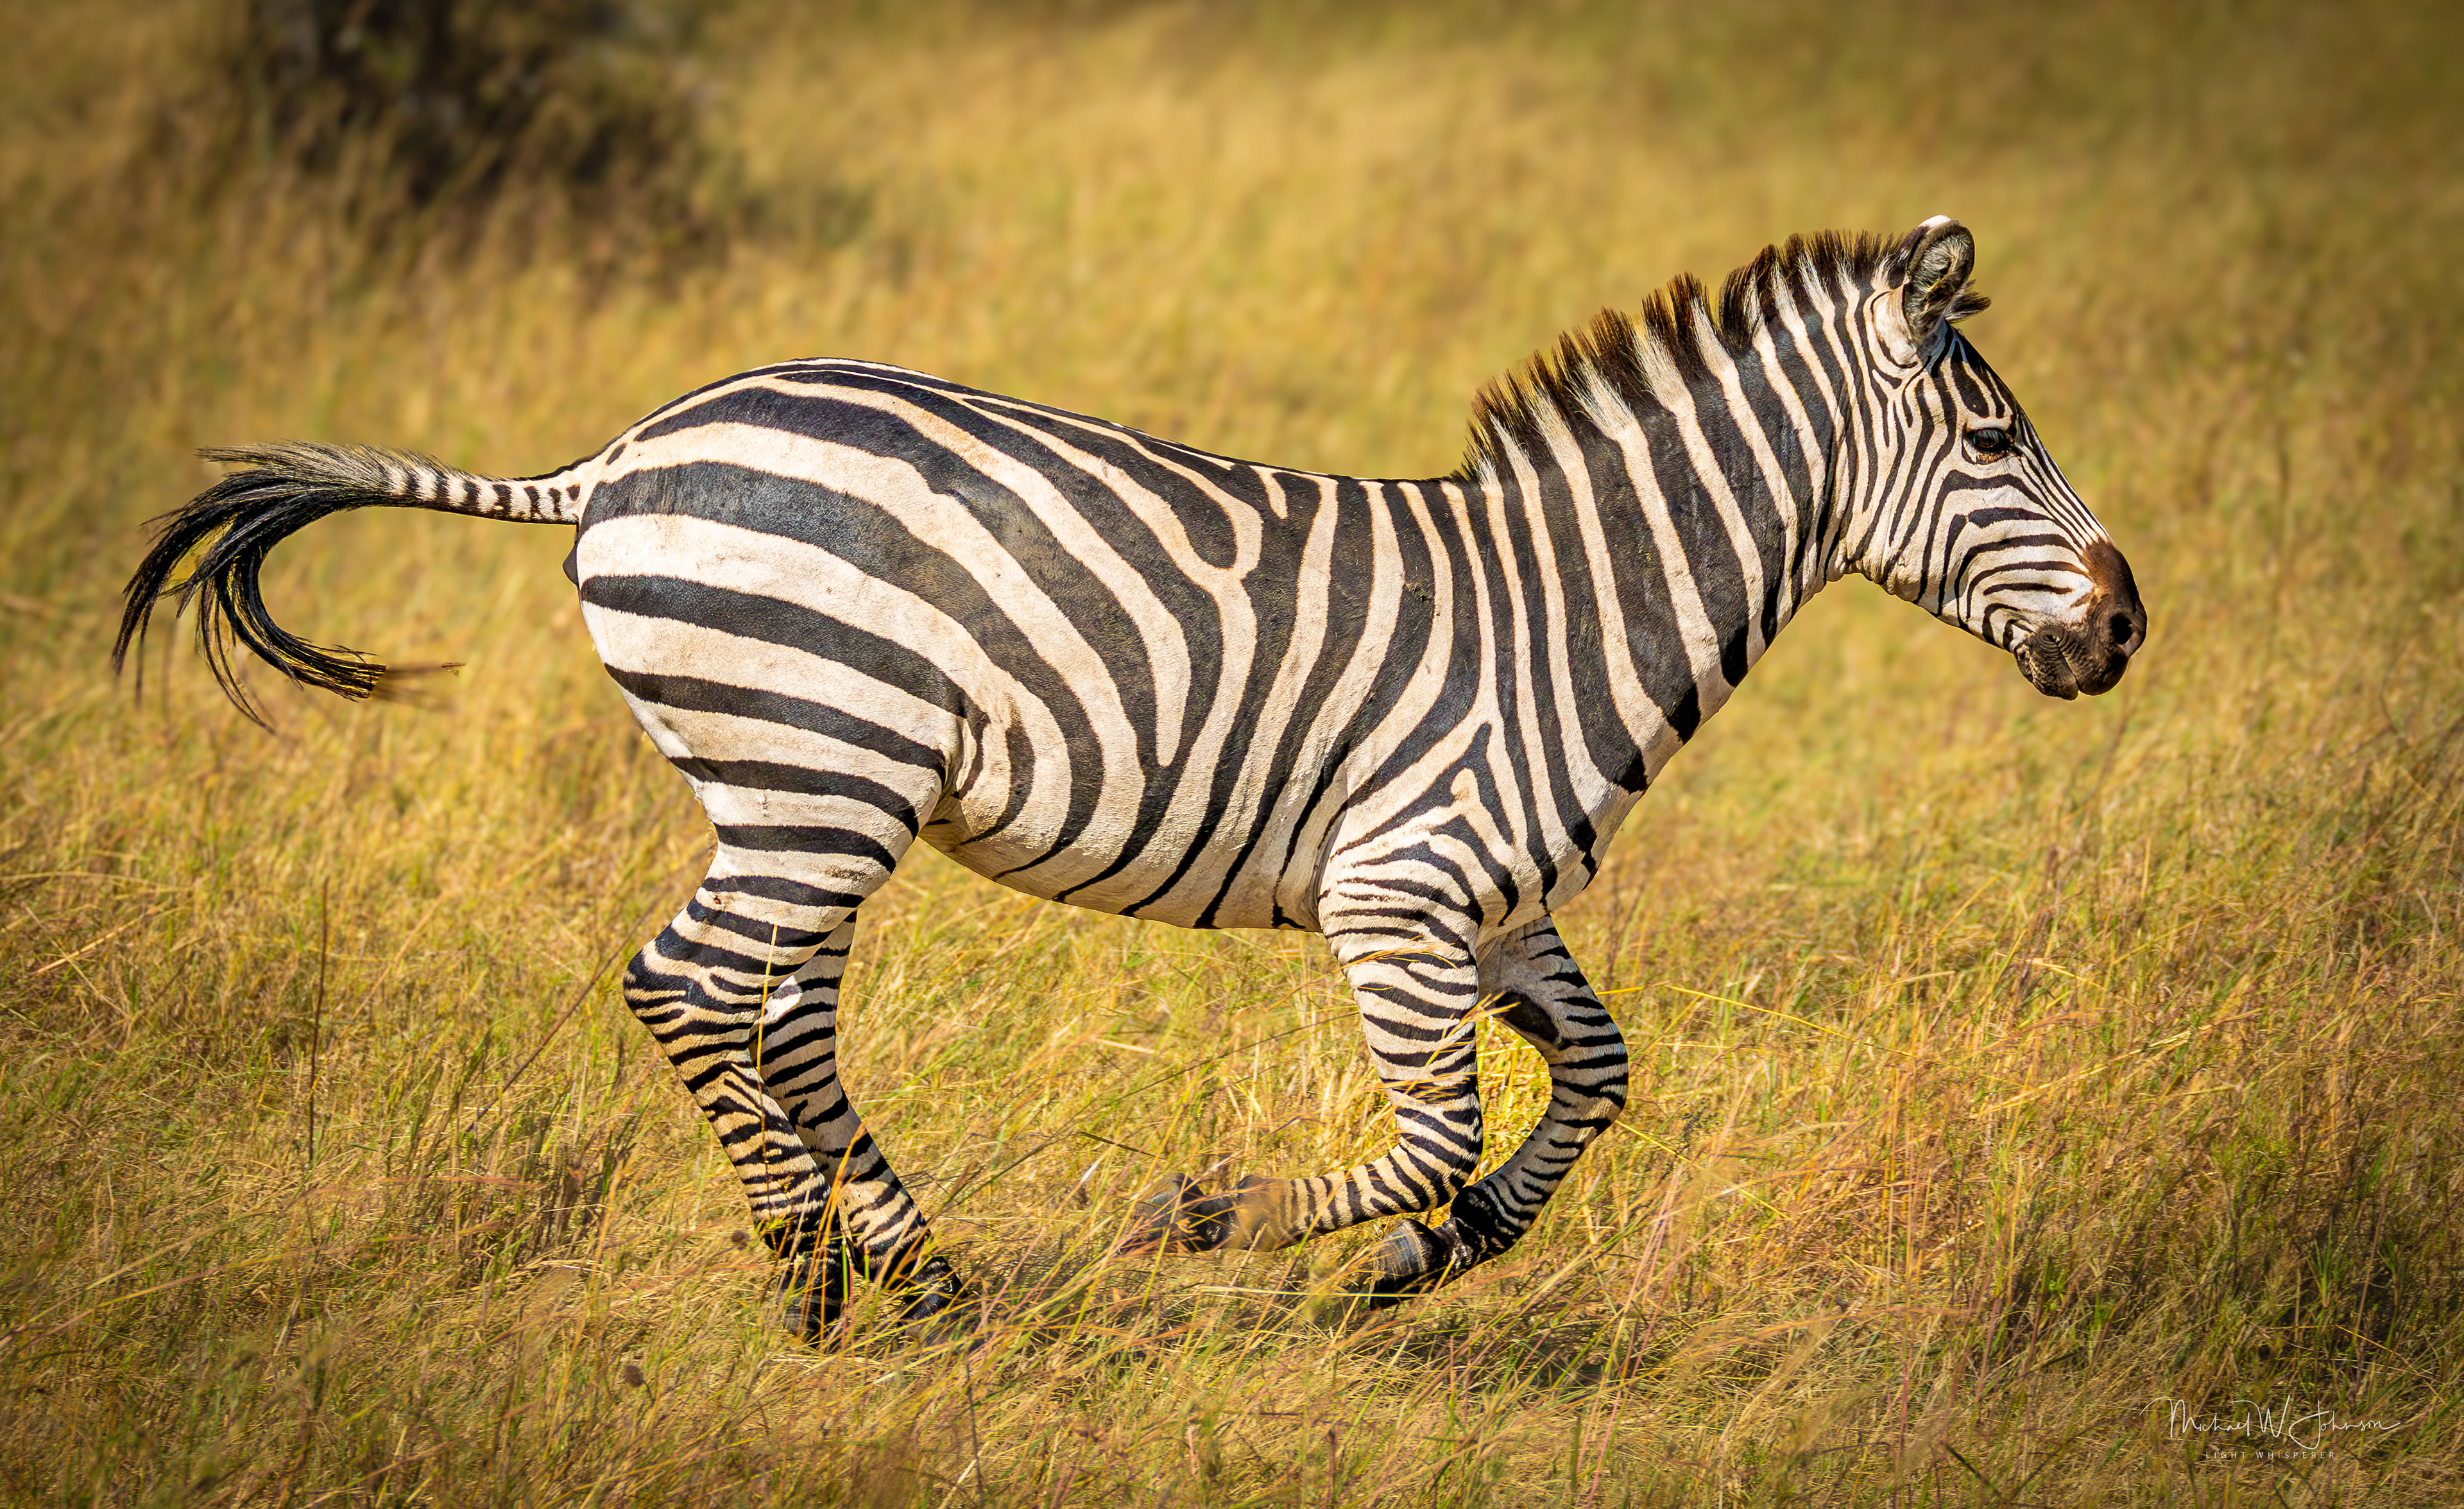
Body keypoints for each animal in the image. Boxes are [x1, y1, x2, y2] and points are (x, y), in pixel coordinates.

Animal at [117, 217, 2144, 1338]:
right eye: (1992, 437)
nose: (2126, 626)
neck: (1571, 608)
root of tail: (617, 455)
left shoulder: (1494, 905)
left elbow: (1595, 1082)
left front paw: (1436, 1259)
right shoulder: (1396, 890)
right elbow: (1436, 1124)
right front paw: (1215, 1219)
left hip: (802, 792)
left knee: (776, 1014)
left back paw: (920, 1272)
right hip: (816, 766)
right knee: (688, 985)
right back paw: (807, 1273)